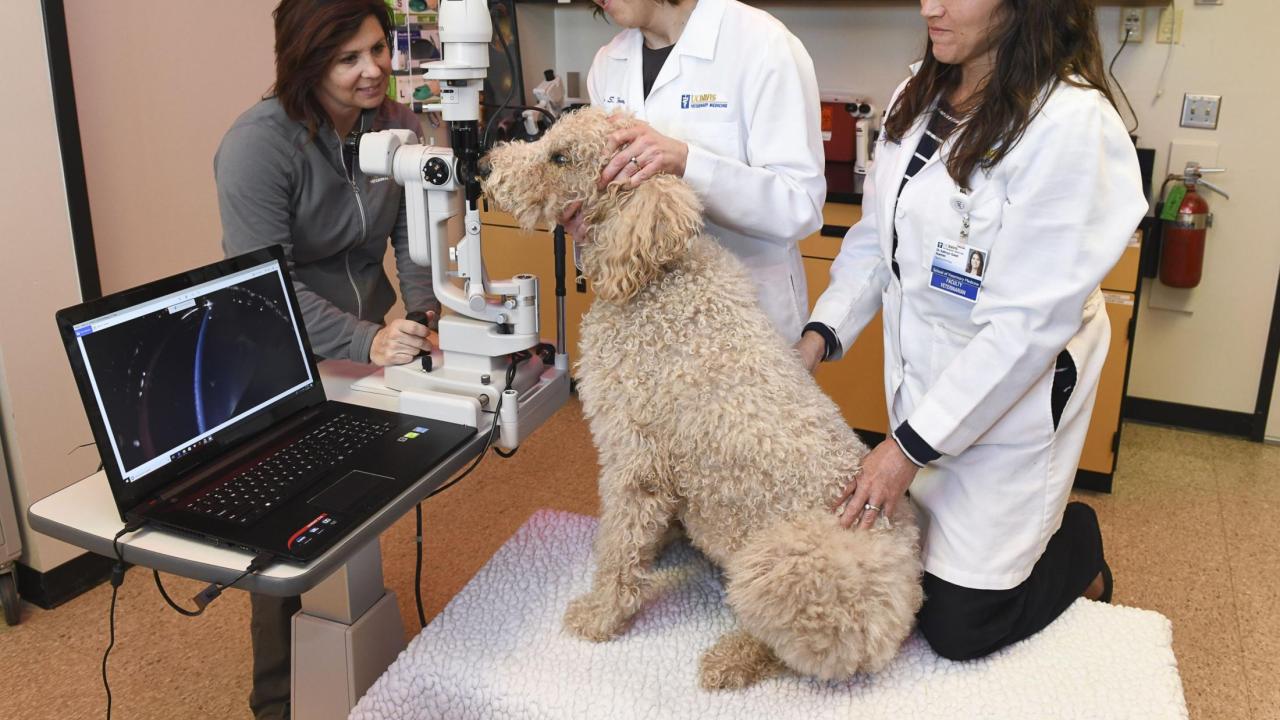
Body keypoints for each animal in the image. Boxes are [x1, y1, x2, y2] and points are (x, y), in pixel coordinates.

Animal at [481, 106, 921, 681]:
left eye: (559, 156)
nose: (485, 164)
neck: (660, 280)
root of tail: (910, 585)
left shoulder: (633, 457)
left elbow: (618, 547)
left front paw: (601, 615)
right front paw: (661, 543)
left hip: (779, 565)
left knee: (810, 652)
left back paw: (730, 659)